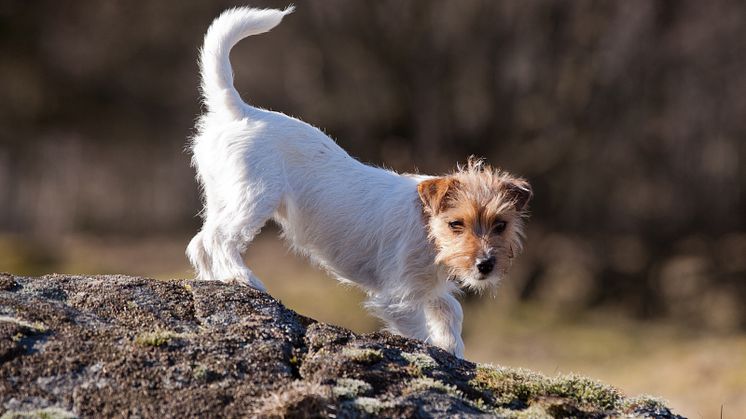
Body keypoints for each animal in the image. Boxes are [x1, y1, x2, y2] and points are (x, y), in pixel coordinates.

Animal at [185, 6, 528, 360]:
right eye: (456, 224)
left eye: (500, 225)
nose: (485, 265)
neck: (427, 230)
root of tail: (239, 111)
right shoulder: (398, 298)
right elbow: (419, 328)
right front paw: (432, 348)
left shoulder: (427, 287)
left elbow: (451, 309)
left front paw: (452, 347)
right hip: (254, 198)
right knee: (218, 238)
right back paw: (240, 277)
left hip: (223, 196)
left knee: (199, 242)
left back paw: (215, 279)